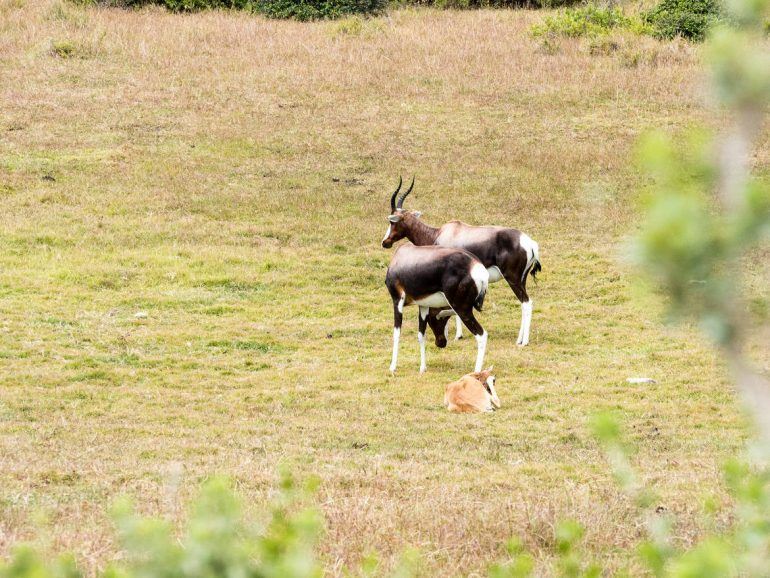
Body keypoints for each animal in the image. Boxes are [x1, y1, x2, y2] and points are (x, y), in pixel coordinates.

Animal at [380, 178, 536, 344]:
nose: (385, 242)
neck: (438, 234)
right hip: (521, 279)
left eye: (392, 222)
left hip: (512, 279)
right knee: (524, 303)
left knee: (526, 303)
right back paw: (519, 339)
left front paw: (455, 335)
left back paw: (524, 342)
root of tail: (530, 243)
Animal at [384, 241, 486, 372]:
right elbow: (421, 335)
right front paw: (422, 368)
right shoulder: (423, 305)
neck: (400, 256)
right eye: (443, 319)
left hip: (462, 309)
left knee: (481, 335)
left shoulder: (397, 301)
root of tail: (476, 266)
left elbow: (396, 333)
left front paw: (392, 367)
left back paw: (476, 371)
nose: (441, 343)